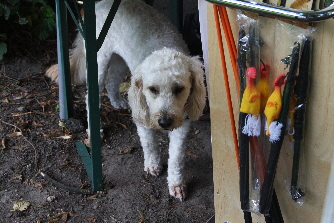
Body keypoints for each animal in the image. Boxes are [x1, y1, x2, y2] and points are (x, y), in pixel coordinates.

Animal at [45, 0, 205, 200]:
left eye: (179, 89)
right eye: (152, 89)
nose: (164, 122)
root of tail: (100, 4)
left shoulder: (182, 123)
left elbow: (176, 157)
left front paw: (176, 184)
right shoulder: (143, 117)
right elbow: (149, 144)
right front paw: (153, 165)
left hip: (119, 59)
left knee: (112, 80)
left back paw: (117, 102)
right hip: (99, 60)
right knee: (92, 96)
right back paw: (95, 129)